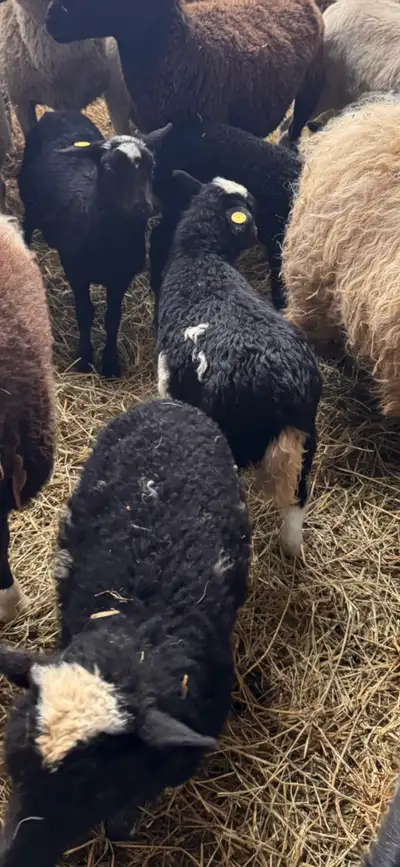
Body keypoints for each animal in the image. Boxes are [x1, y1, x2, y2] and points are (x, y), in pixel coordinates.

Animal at [0, 397, 250, 864]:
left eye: (93, 787)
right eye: (12, 764)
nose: (14, 858)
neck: (136, 623)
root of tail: (170, 403)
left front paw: (122, 822)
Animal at [18, 110, 171, 377]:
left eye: (152, 168)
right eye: (109, 168)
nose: (144, 207)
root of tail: (57, 112)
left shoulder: (121, 277)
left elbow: (113, 317)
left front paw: (110, 364)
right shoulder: (76, 272)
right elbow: (85, 312)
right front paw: (84, 359)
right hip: (31, 203)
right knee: (26, 226)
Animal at [156, 173, 322, 556]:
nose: (259, 230)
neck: (201, 258)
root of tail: (288, 387)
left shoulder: (169, 378)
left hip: (235, 436)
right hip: (307, 439)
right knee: (297, 501)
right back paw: (291, 550)